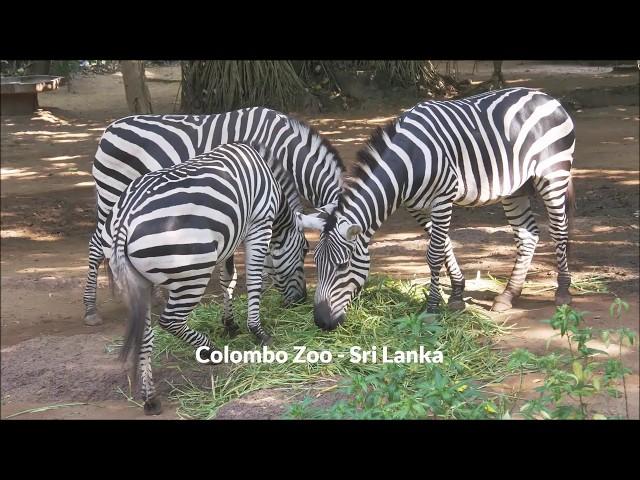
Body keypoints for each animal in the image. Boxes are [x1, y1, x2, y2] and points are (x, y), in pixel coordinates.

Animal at [84, 108, 350, 326]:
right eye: (306, 250)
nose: (301, 300)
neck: (285, 149)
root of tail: (109, 129)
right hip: (111, 193)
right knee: (96, 245)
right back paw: (90, 310)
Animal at [102, 143, 308, 416]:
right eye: (306, 250)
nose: (302, 299)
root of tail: (124, 220)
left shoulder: (232, 235)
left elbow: (228, 279)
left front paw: (230, 324)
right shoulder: (259, 222)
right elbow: (254, 278)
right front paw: (257, 331)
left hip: (140, 282)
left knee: (146, 335)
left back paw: (150, 399)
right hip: (193, 271)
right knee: (169, 321)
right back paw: (211, 351)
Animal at [302, 87, 580, 330]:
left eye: (341, 266)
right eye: (315, 263)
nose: (321, 322)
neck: (409, 161)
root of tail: (546, 96)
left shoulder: (443, 197)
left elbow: (434, 253)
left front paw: (432, 308)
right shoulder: (416, 207)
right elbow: (444, 246)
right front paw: (456, 294)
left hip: (553, 175)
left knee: (559, 229)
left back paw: (563, 291)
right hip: (516, 189)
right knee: (528, 235)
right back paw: (508, 295)